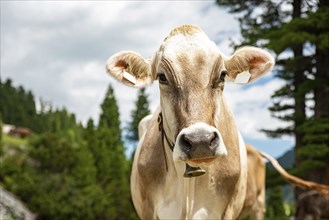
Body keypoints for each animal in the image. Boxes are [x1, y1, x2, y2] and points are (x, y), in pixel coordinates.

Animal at [105, 24, 328, 219]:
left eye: (222, 75)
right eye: (161, 77)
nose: (200, 141)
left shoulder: (226, 210)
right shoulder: (147, 209)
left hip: (258, 205)